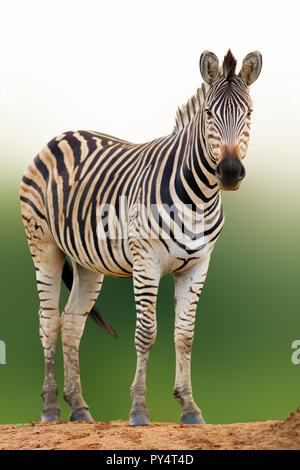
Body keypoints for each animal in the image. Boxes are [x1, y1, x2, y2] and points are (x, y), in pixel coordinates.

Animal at [19, 49, 262, 424]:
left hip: (87, 261)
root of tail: (64, 135)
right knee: (48, 321)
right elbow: (146, 333)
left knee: (71, 323)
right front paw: (138, 410)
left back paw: (79, 407)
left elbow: (185, 335)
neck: (201, 197)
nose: (231, 172)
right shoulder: (146, 262)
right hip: (43, 245)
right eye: (208, 113)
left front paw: (190, 408)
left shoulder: (198, 265)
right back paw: (50, 408)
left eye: (249, 113)